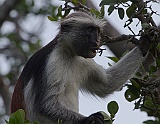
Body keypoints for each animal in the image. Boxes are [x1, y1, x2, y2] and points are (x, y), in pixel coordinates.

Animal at [11, 11, 150, 124]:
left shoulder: (83, 60)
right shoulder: (52, 61)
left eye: (97, 31)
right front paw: (90, 118)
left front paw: (144, 44)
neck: (69, 53)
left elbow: (107, 83)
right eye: (90, 30)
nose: (97, 41)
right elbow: (44, 105)